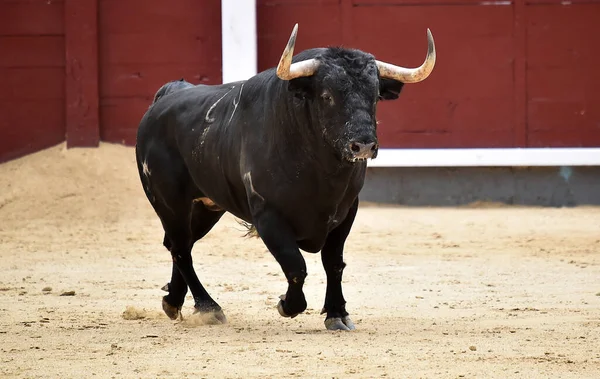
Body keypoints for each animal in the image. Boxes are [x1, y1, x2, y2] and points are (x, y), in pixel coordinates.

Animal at [136, 24, 436, 332]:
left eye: (375, 96)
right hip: (170, 203)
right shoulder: (268, 215)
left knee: (178, 244)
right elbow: (295, 265)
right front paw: (288, 305)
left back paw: (173, 301)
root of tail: (165, 98)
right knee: (181, 248)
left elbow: (333, 262)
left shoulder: (346, 211)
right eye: (327, 95)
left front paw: (337, 314)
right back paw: (208, 307)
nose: (363, 145)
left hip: (206, 206)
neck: (321, 171)